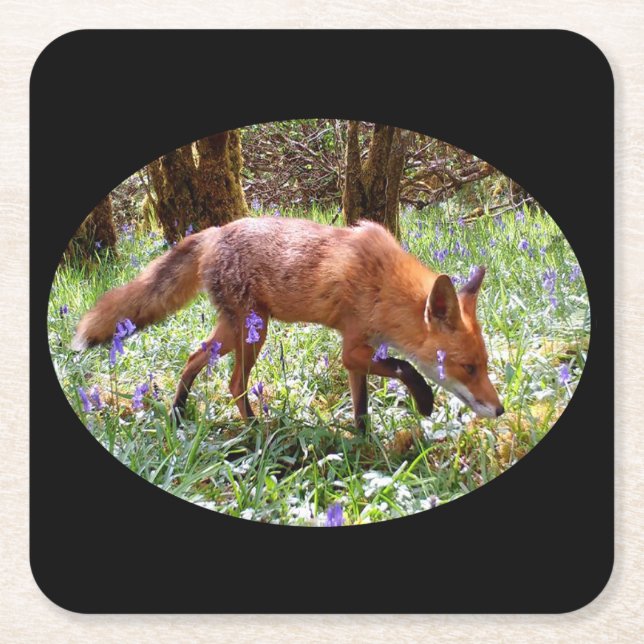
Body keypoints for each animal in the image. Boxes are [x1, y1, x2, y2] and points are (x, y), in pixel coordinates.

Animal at [72, 216, 504, 430]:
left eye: (485, 365)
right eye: (468, 368)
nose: (500, 410)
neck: (383, 283)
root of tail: (214, 232)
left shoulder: (358, 354)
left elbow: (361, 407)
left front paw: (363, 445)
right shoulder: (352, 348)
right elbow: (404, 366)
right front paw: (425, 401)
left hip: (235, 331)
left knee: (195, 358)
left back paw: (179, 413)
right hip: (252, 331)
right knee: (234, 383)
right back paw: (255, 430)